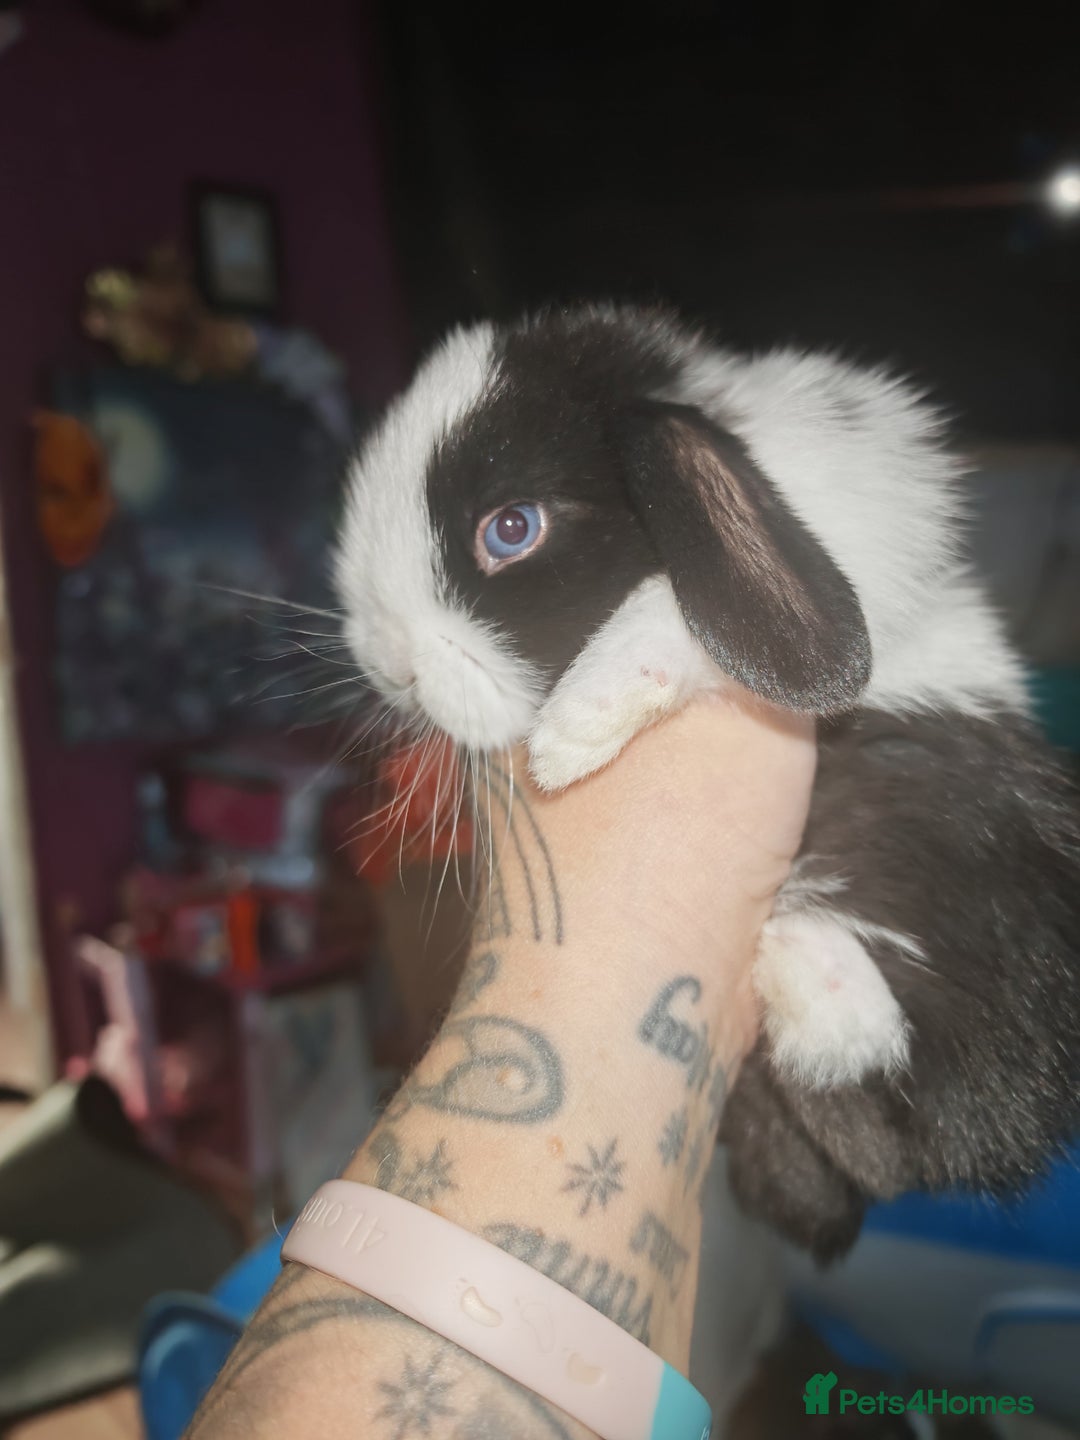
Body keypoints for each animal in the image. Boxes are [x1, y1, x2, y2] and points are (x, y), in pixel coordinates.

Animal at [334, 302, 1080, 1262]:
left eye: (512, 528)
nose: (387, 666)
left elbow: (668, 610)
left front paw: (574, 734)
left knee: (923, 1126)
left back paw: (811, 967)